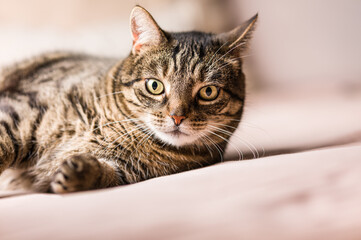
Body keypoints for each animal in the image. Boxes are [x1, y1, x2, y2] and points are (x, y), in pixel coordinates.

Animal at [0, 5, 256, 193]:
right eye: (155, 85)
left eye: (208, 92)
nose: (177, 117)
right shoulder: (22, 109)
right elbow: (4, 143)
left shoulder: (126, 171)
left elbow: (105, 174)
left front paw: (82, 170)